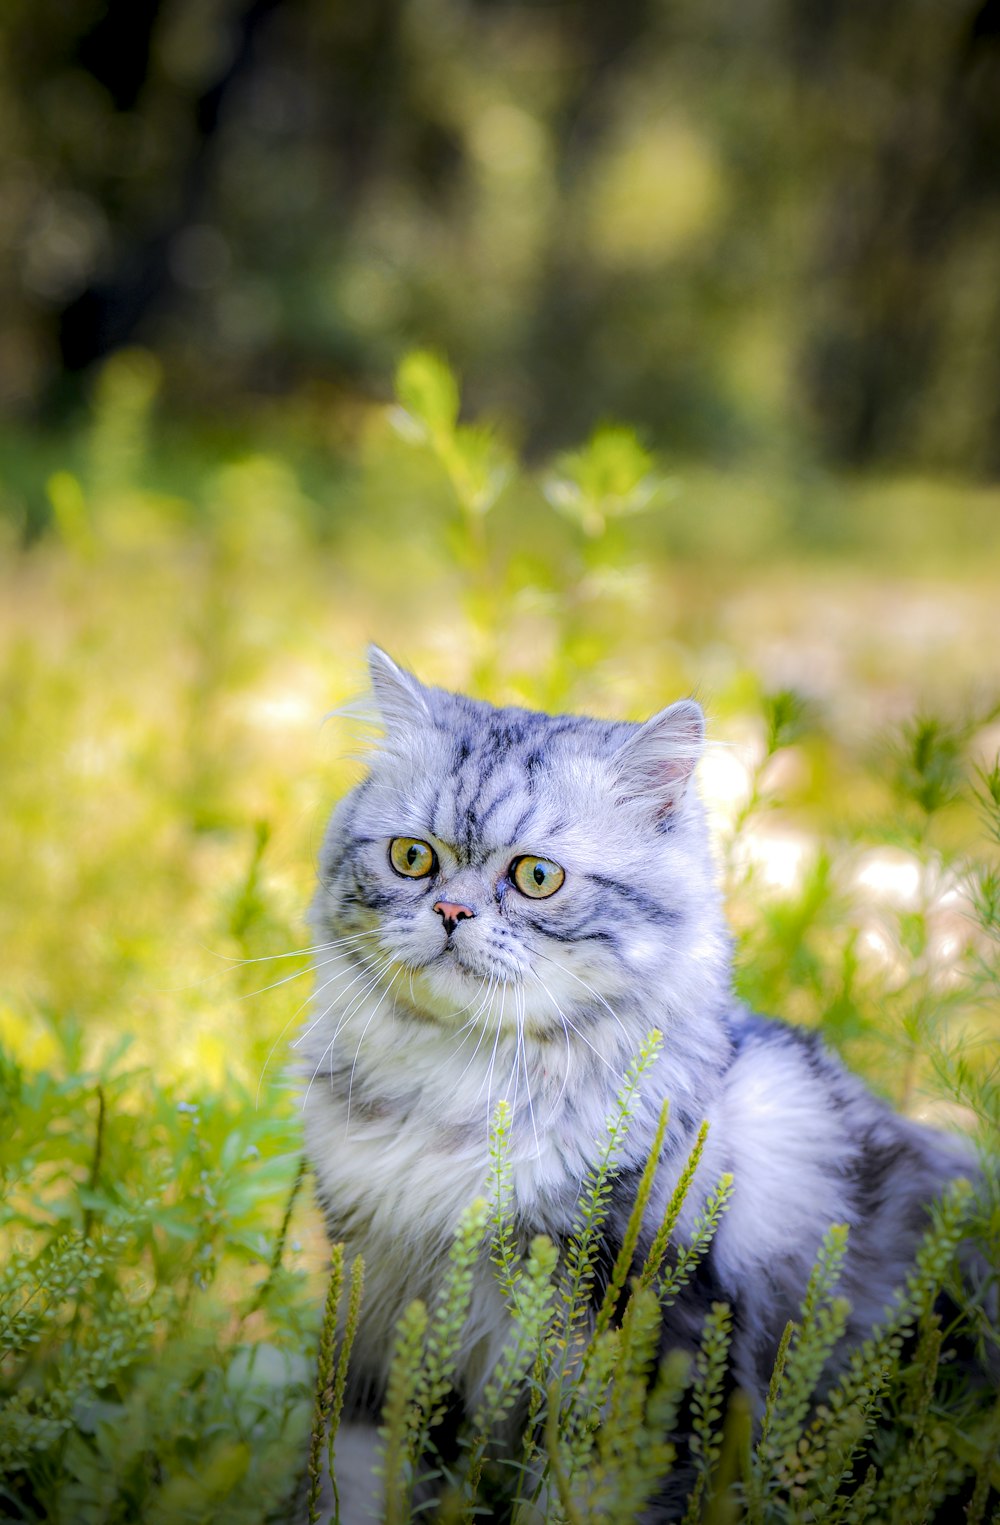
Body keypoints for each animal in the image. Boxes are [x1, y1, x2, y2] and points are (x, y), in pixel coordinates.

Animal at [300, 646, 981, 1525]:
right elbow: (355, 1480)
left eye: (538, 876)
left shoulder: (632, 1350)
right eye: (413, 857)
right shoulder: (381, 1325)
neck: (462, 1098)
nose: (450, 910)